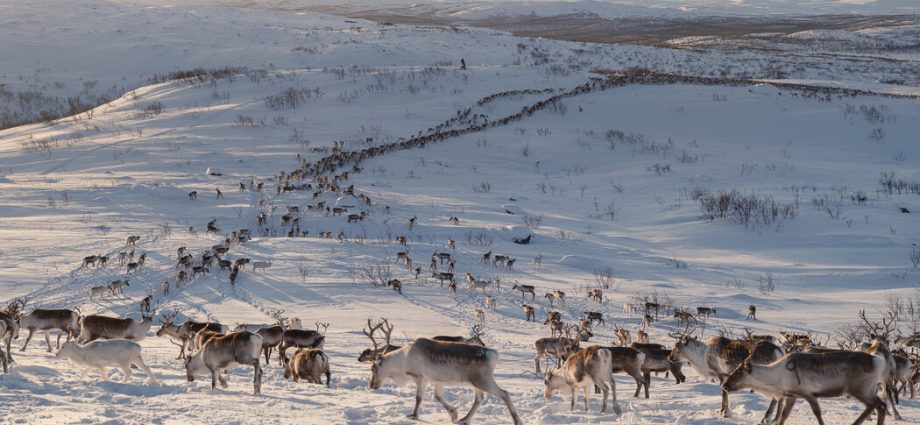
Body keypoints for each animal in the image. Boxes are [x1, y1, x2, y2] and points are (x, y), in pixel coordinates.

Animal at [369, 337, 523, 425]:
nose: (372, 386)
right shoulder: (437, 381)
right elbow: (437, 396)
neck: (403, 361)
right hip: (476, 382)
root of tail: (494, 354)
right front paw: (454, 414)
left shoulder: (420, 378)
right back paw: (464, 419)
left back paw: (517, 421)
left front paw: (413, 416)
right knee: (479, 398)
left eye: (373, 368)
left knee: (504, 393)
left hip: (483, 380)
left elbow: (419, 398)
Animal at [722, 351, 888, 425]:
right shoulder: (791, 395)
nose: (724, 385)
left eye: (738, 372)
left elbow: (817, 413)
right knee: (878, 405)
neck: (776, 379)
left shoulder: (808, 394)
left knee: (878, 405)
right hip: (867, 390)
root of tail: (879, 361)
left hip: (860, 390)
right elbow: (784, 415)